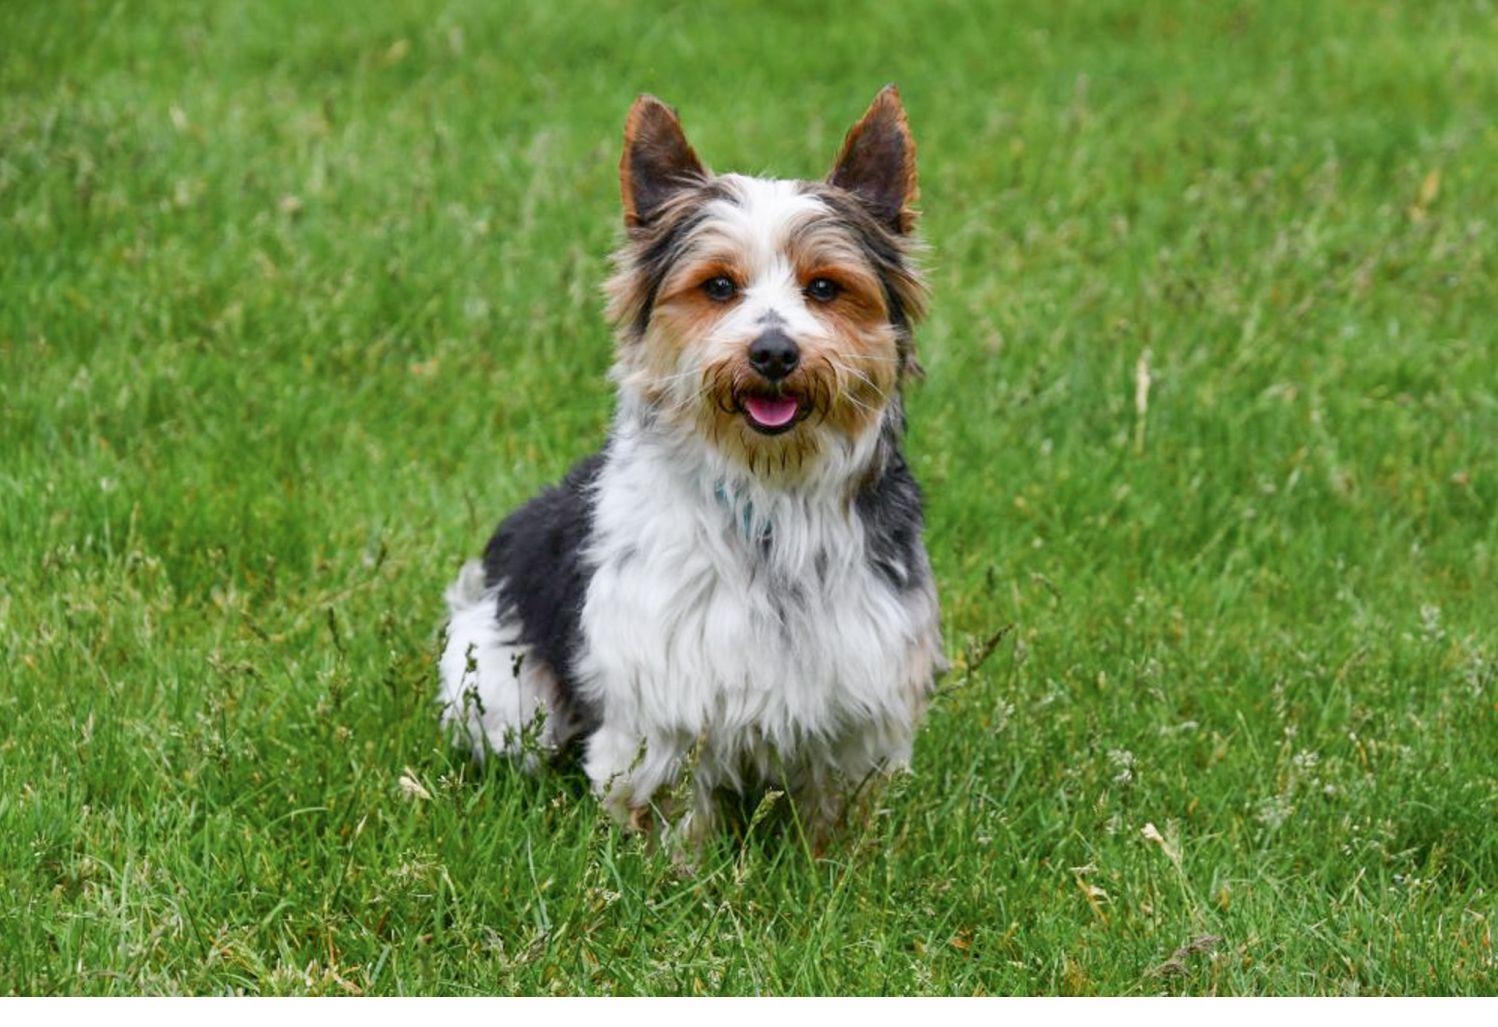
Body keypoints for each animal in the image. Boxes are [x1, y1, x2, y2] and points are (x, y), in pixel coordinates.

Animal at [437, 86, 940, 844]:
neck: (769, 489)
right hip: (500, 687)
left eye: (825, 288)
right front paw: (676, 870)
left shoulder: (859, 708)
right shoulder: (661, 710)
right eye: (719, 286)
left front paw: (836, 863)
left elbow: (835, 812)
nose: (773, 352)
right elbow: (670, 815)